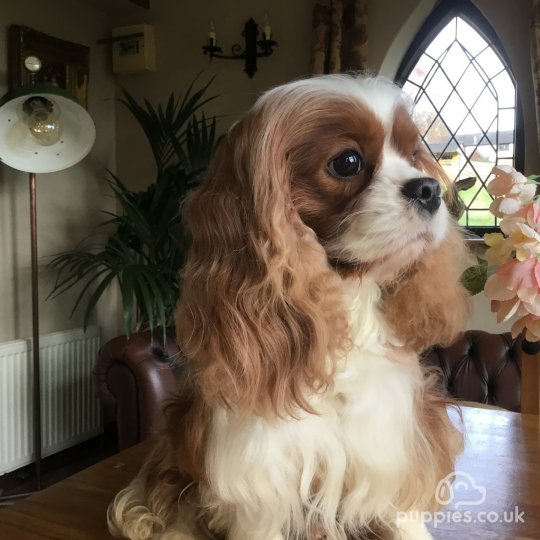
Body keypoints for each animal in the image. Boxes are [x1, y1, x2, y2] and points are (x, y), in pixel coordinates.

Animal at [108, 75, 468, 540]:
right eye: (347, 162)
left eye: (414, 156)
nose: (428, 188)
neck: (343, 307)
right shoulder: (259, 472)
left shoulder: (390, 439)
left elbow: (401, 510)